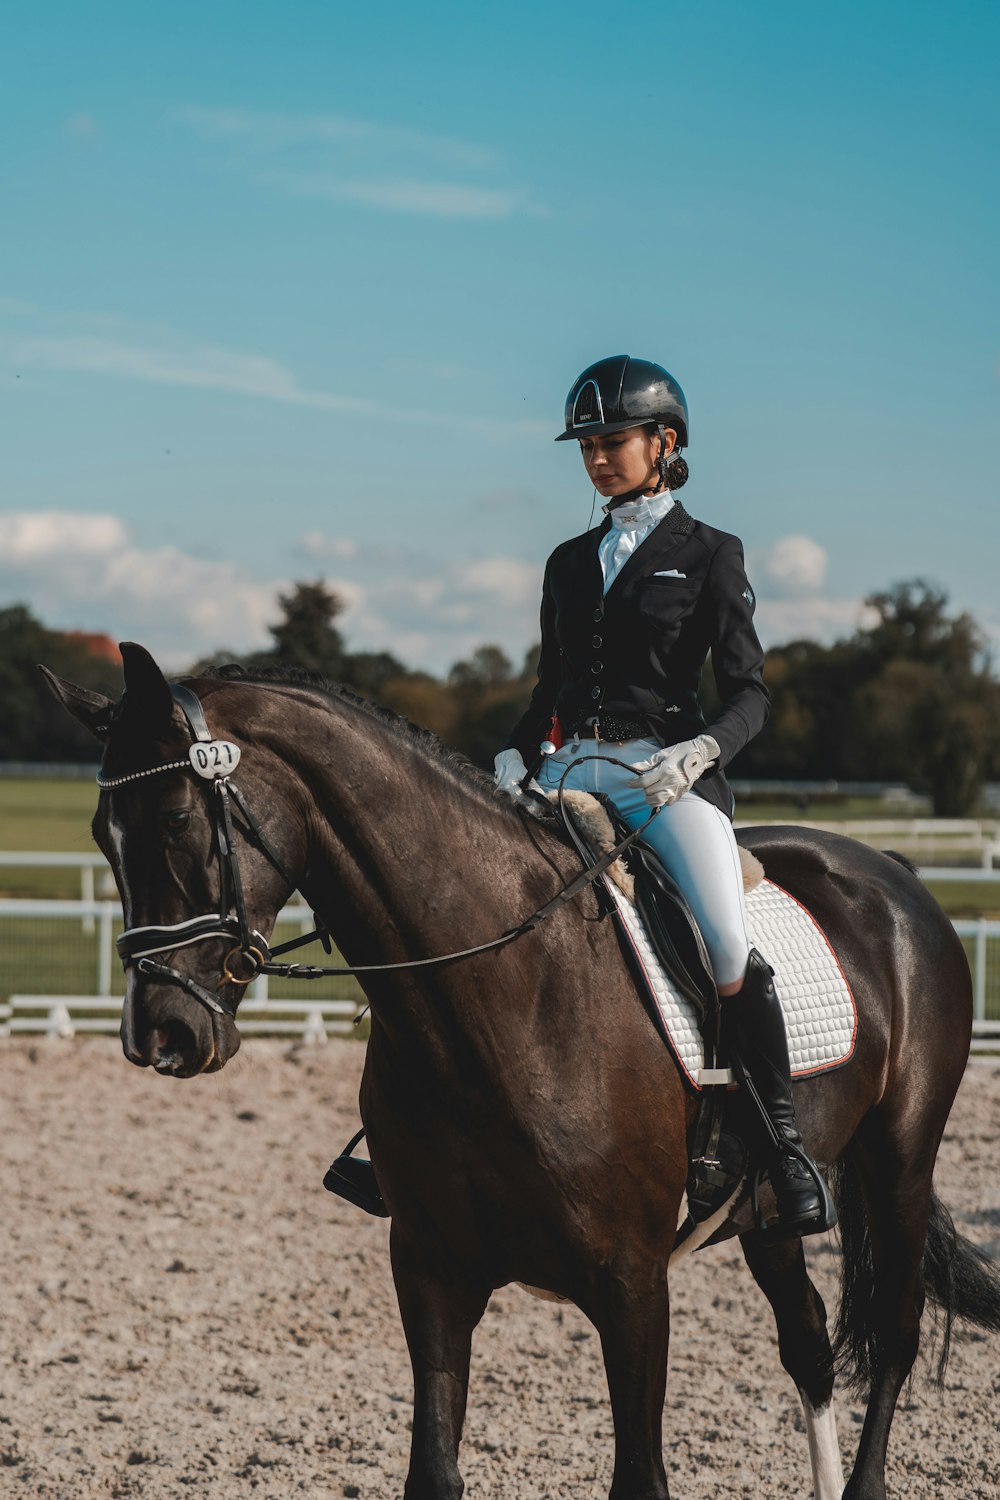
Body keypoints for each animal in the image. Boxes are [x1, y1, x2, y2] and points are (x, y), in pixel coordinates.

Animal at [44, 645, 1000, 1500]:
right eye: (99, 835)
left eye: (175, 819)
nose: (159, 1033)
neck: (495, 999)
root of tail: (890, 872)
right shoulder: (430, 1271)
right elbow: (432, 1472)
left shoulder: (632, 1286)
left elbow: (640, 1478)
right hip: (764, 1205)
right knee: (806, 1340)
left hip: (898, 1162)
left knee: (893, 1336)